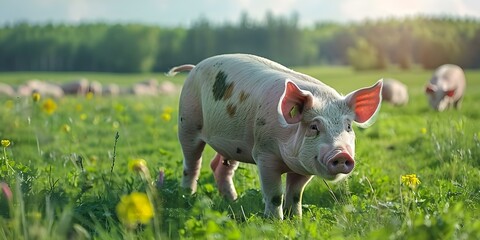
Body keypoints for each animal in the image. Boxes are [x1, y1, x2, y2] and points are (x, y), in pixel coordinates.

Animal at [169, 54, 382, 219]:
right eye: (314, 127)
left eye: (348, 126)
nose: (341, 154)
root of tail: (195, 67)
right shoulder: (264, 155)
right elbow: (275, 194)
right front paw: (275, 222)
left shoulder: (304, 168)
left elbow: (296, 194)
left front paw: (296, 219)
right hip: (187, 122)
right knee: (192, 164)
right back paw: (187, 196)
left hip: (232, 143)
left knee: (219, 167)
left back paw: (233, 200)